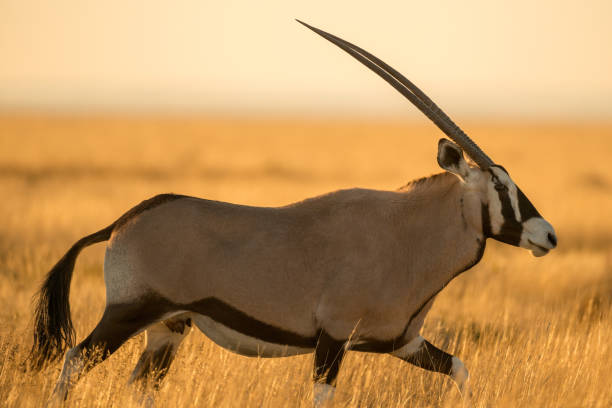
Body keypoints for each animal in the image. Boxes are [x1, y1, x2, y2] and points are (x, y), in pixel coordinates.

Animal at [29, 21, 560, 404]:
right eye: (499, 185)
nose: (548, 235)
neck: (407, 235)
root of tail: (121, 222)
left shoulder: (403, 343)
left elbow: (461, 369)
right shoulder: (333, 341)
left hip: (168, 328)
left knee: (140, 385)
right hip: (129, 313)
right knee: (74, 360)